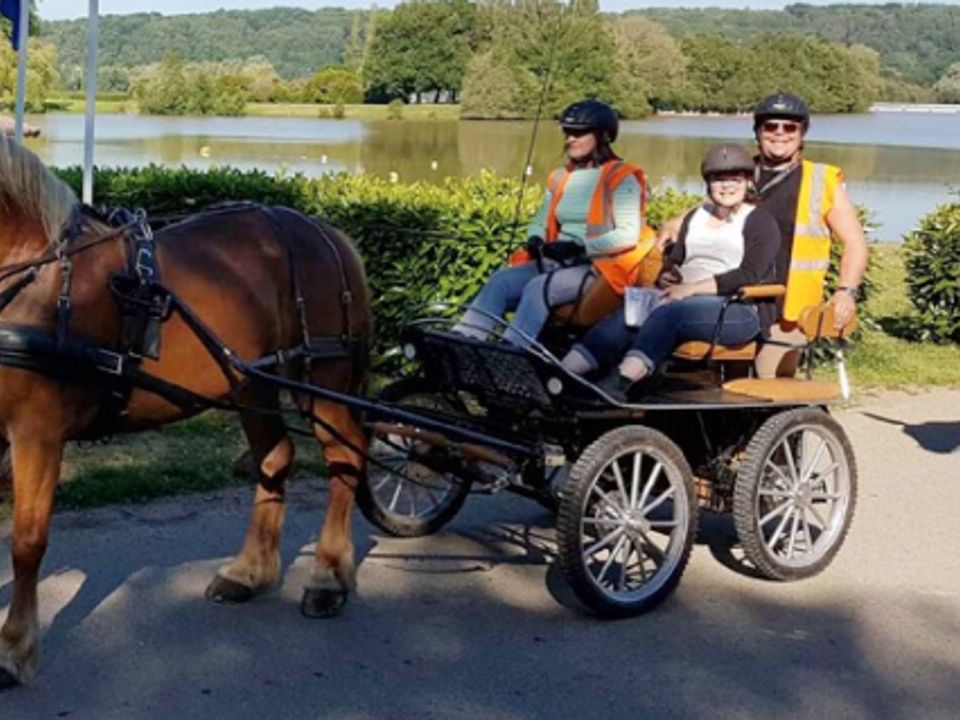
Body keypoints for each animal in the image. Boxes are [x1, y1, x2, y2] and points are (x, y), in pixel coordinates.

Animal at [0, 139, 374, 688]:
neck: (36, 275)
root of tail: (327, 233)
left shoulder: (37, 433)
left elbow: (27, 541)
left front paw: (15, 648)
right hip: (253, 381)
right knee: (275, 457)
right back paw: (248, 573)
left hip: (322, 381)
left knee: (344, 457)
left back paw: (328, 576)